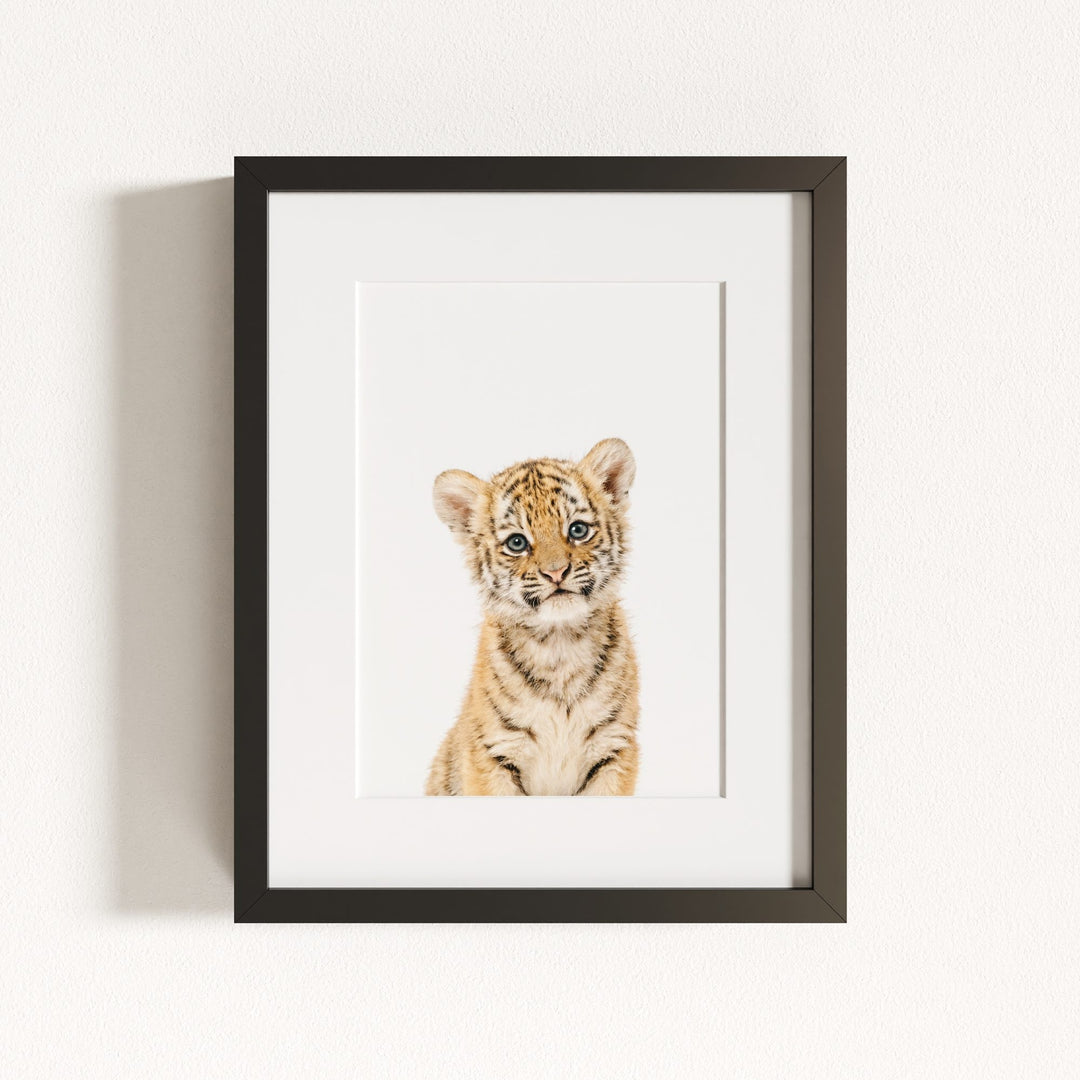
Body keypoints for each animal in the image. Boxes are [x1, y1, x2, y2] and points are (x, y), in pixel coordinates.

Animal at [425, 438, 640, 796]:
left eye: (577, 530)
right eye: (517, 543)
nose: (556, 572)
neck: (559, 643)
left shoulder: (614, 749)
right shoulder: (493, 753)